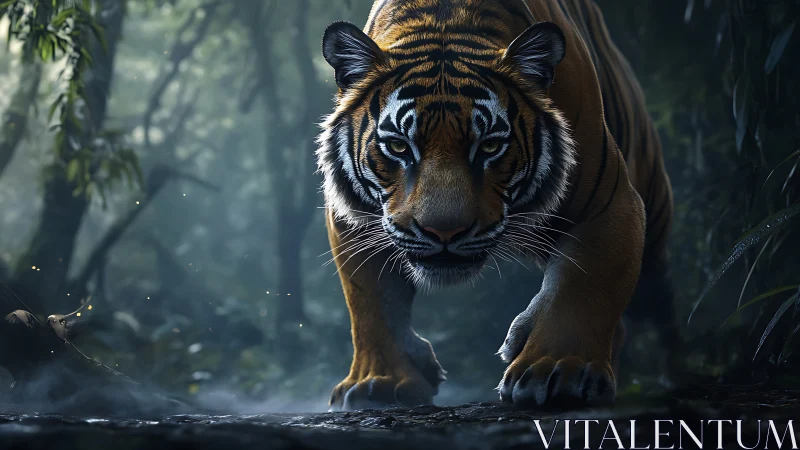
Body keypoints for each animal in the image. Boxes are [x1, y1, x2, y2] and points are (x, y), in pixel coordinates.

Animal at [317, 0, 673, 410]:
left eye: (489, 146)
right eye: (398, 146)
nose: (444, 231)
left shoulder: (609, 204)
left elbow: (583, 286)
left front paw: (556, 370)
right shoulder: (353, 220)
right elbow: (372, 301)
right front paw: (379, 382)